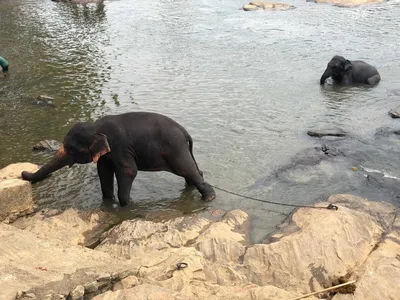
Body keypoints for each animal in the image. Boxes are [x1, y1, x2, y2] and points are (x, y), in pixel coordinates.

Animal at [21, 112, 216, 206]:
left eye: (71, 149)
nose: (23, 173)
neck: (96, 126)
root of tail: (185, 132)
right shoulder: (106, 154)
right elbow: (103, 172)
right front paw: (108, 201)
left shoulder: (120, 146)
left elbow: (129, 171)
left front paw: (126, 204)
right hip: (178, 149)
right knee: (191, 170)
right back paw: (191, 187)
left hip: (175, 148)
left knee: (186, 168)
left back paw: (209, 198)